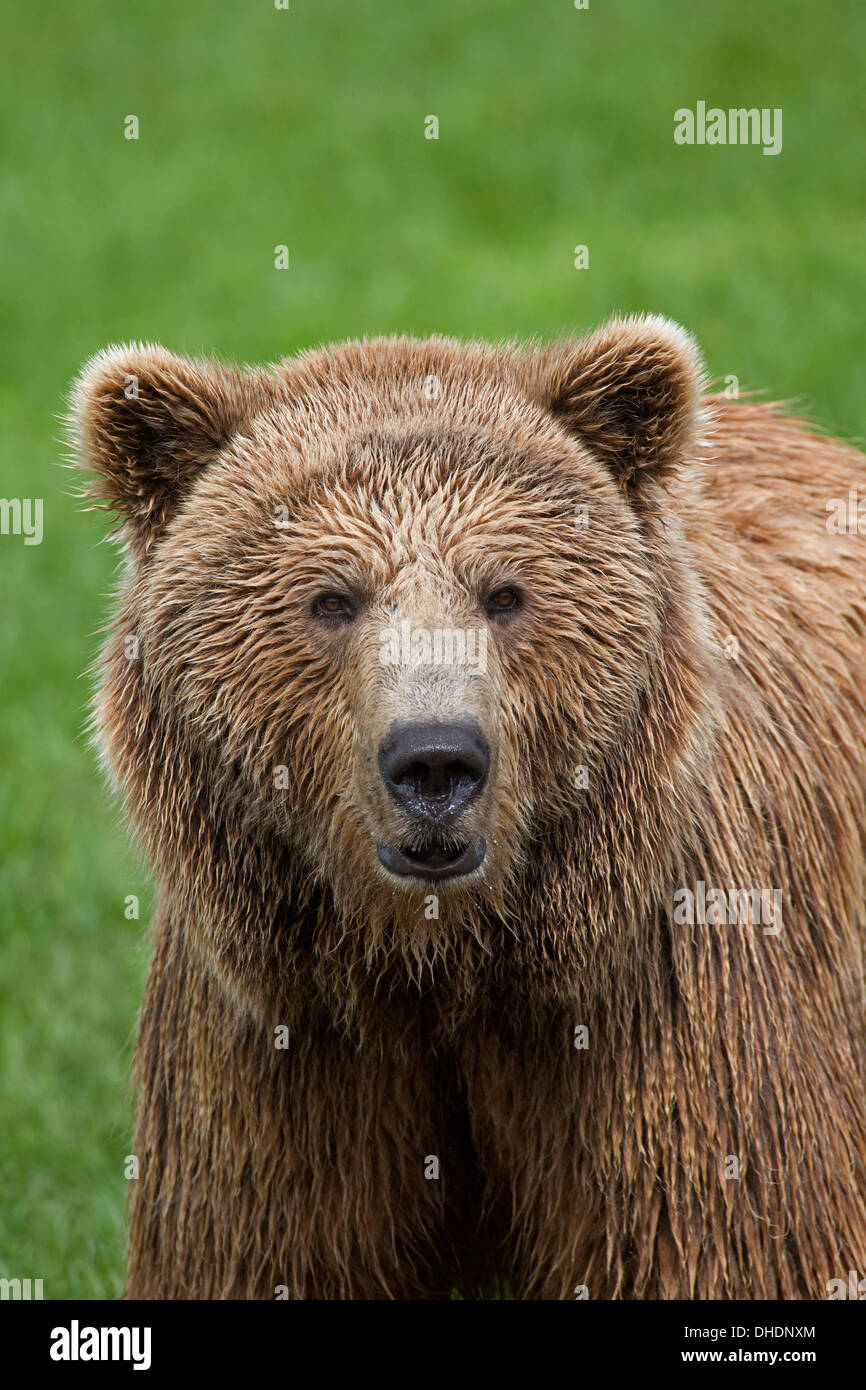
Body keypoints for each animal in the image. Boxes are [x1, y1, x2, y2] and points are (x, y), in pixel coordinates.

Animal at [72, 318, 866, 1301]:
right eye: (331, 599)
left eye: (506, 594)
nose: (436, 760)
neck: (450, 966)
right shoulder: (287, 1055)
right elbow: (269, 1249)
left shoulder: (673, 1011)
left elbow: (730, 1239)